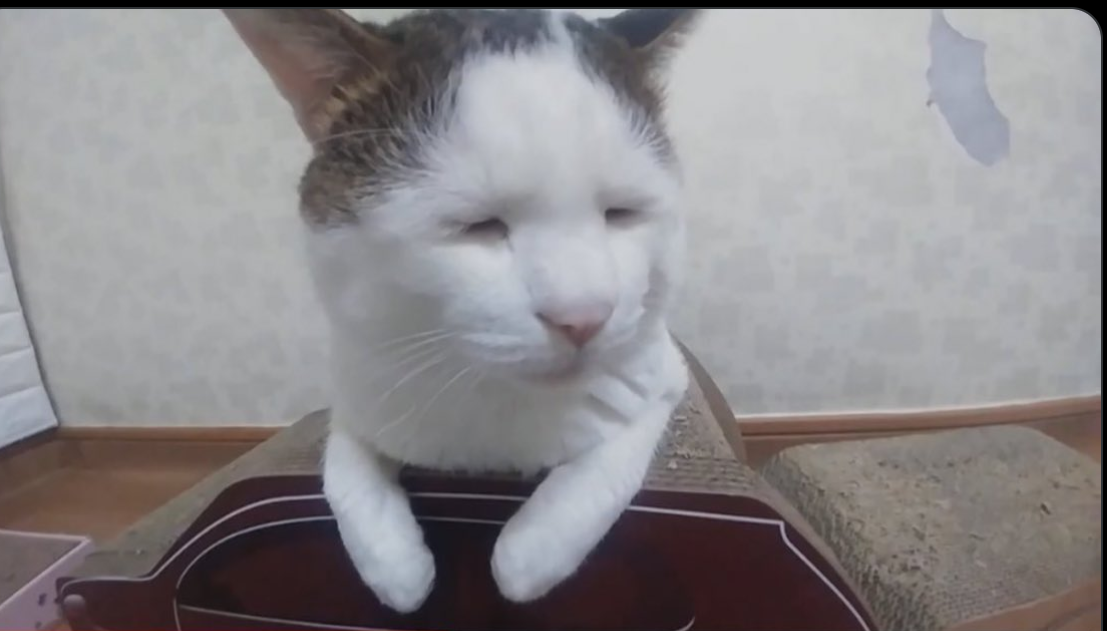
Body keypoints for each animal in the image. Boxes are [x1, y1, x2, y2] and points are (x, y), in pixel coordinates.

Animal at [222, 7, 701, 613]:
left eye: (622, 213)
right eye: (477, 225)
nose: (583, 317)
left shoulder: (661, 379)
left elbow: (565, 510)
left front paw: (530, 549)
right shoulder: (356, 391)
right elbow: (347, 476)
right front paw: (398, 567)